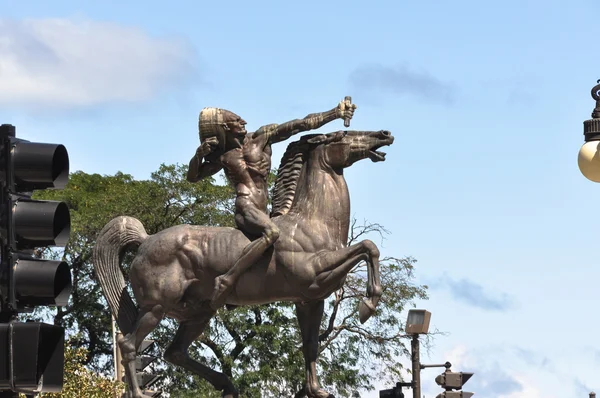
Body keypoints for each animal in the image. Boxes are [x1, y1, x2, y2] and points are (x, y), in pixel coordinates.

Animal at [92, 129, 394, 396]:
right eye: (343, 135)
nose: (384, 135)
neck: (312, 223)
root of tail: (145, 240)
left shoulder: (310, 300)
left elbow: (309, 345)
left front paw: (316, 391)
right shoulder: (314, 275)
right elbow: (368, 247)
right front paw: (367, 305)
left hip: (197, 313)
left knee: (174, 352)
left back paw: (227, 385)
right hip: (155, 309)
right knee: (128, 344)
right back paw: (141, 393)